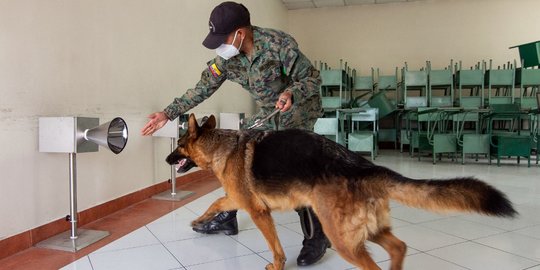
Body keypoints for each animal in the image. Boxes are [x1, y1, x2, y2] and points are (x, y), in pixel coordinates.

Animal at [167, 114, 516, 270]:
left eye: (180, 145)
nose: (167, 159)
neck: (221, 146)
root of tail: (365, 167)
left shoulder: (258, 211)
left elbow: (275, 248)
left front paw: (276, 265)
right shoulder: (236, 198)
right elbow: (216, 202)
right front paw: (201, 220)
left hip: (342, 236)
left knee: (373, 264)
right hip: (366, 230)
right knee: (399, 246)